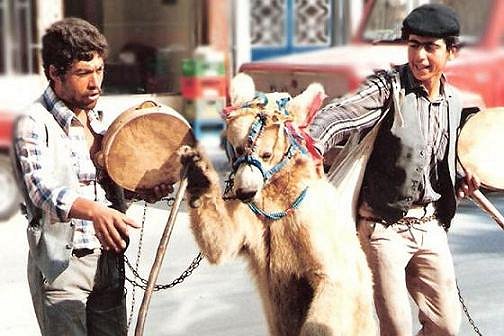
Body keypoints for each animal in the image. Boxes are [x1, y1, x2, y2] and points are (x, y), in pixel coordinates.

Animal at [179, 74, 376, 336]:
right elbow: (222, 241)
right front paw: (199, 174)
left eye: (266, 153)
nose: (245, 190)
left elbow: (331, 275)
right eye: (238, 148)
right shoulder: (255, 219)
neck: (275, 193)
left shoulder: (308, 219)